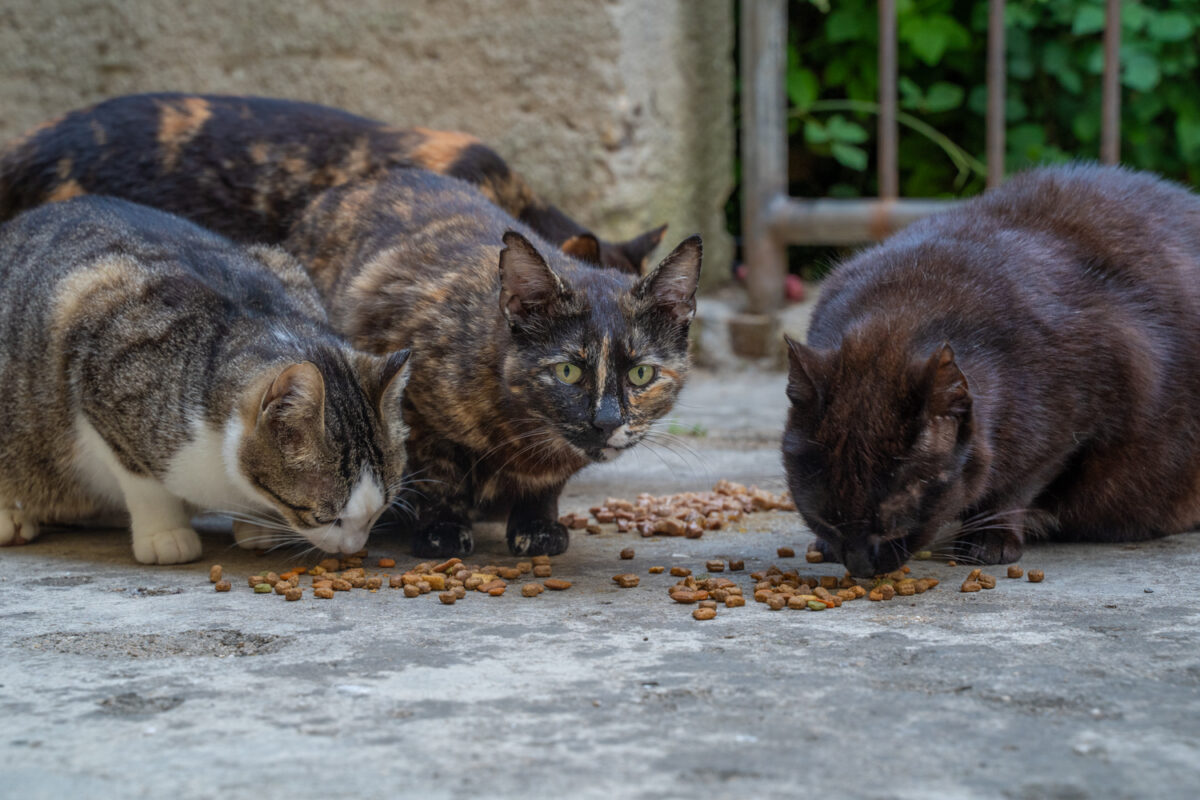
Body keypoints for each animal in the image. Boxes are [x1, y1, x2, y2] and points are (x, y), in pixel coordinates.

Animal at [0, 196, 412, 566]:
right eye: (325, 517)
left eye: (379, 512)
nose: (353, 547)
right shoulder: (102, 382)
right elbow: (142, 479)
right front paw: (165, 533)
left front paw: (259, 523)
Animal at [283, 169, 700, 556]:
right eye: (568, 371)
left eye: (641, 374)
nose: (607, 422)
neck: (526, 432)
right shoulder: (412, 406)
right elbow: (438, 470)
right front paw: (443, 530)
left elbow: (547, 485)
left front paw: (537, 525)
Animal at [782, 164, 1200, 575]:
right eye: (825, 518)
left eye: (894, 521)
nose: (860, 565)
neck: (900, 312)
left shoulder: (1078, 418)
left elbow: (1018, 483)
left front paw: (990, 539)